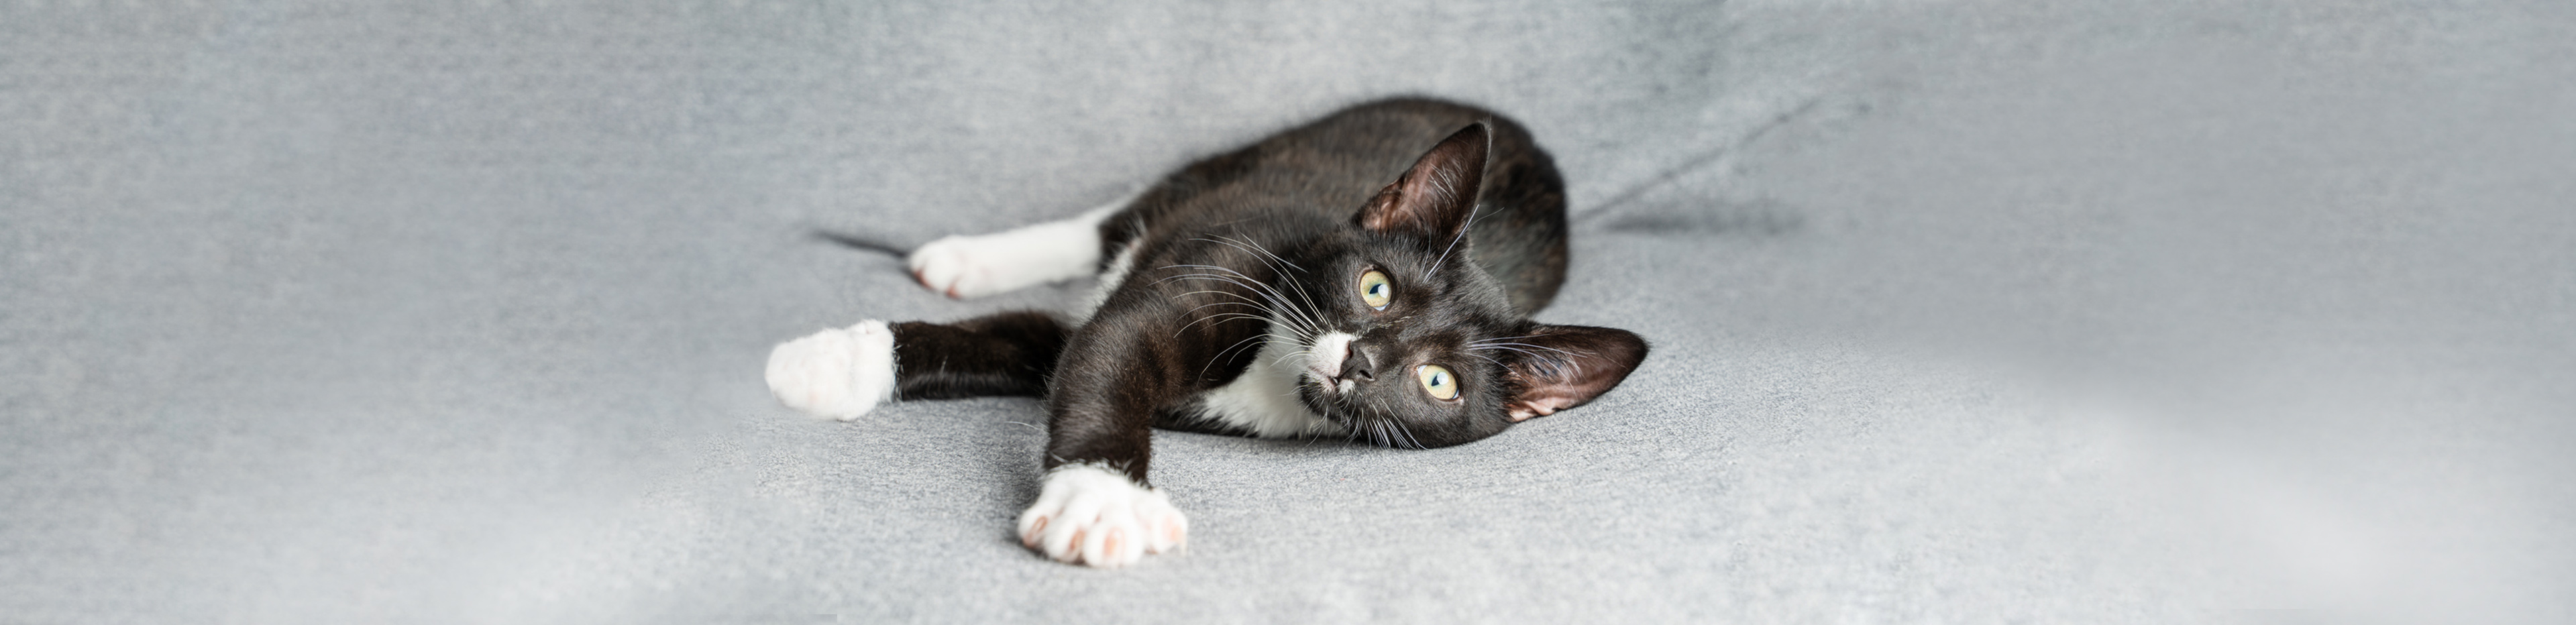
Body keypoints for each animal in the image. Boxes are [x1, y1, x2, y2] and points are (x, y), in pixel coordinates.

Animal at [762, 96, 1648, 565]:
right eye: (1376, 287)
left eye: (1438, 380)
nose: (1362, 362)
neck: (1279, 368)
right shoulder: (1218, 263)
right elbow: (1103, 352)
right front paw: (1101, 498)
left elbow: (1036, 345)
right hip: (1247, 156)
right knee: (1115, 221)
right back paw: (965, 258)